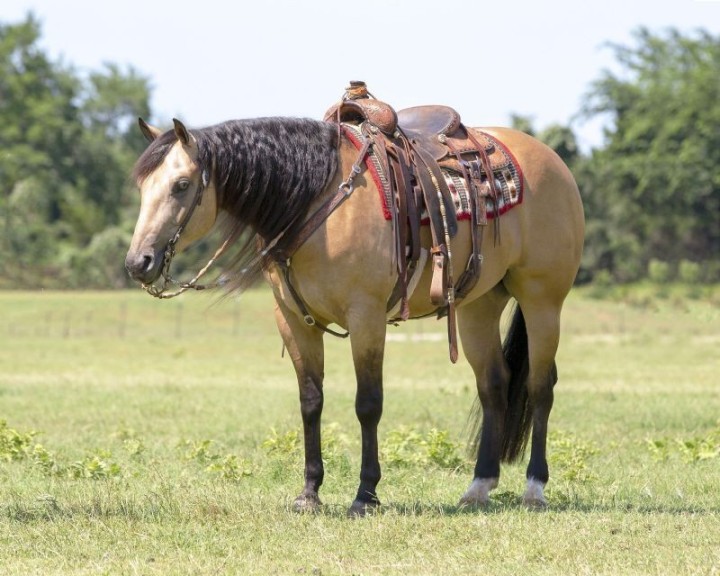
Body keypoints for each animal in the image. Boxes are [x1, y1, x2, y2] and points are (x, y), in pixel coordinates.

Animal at [125, 96, 584, 516]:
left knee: (540, 387)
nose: (137, 262)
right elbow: (310, 402)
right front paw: (309, 493)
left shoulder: (366, 317)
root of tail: (552, 161)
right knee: (493, 385)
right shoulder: (294, 320)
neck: (316, 203)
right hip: (478, 306)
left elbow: (368, 404)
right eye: (142, 187)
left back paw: (534, 488)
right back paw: (478, 486)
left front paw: (365, 495)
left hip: (542, 300)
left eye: (181, 185)